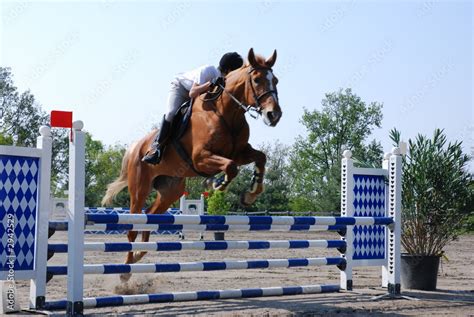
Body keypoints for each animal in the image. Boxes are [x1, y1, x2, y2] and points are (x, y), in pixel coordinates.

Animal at [101, 48, 282, 280]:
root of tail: (134, 148)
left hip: (171, 190)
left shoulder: (241, 152)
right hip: (139, 187)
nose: (274, 115)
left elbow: (260, 158)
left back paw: (141, 254)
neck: (227, 111)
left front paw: (250, 194)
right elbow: (230, 167)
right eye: (257, 80)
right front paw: (216, 184)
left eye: (275, 80)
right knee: (134, 224)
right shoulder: (201, 157)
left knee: (151, 215)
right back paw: (126, 270)